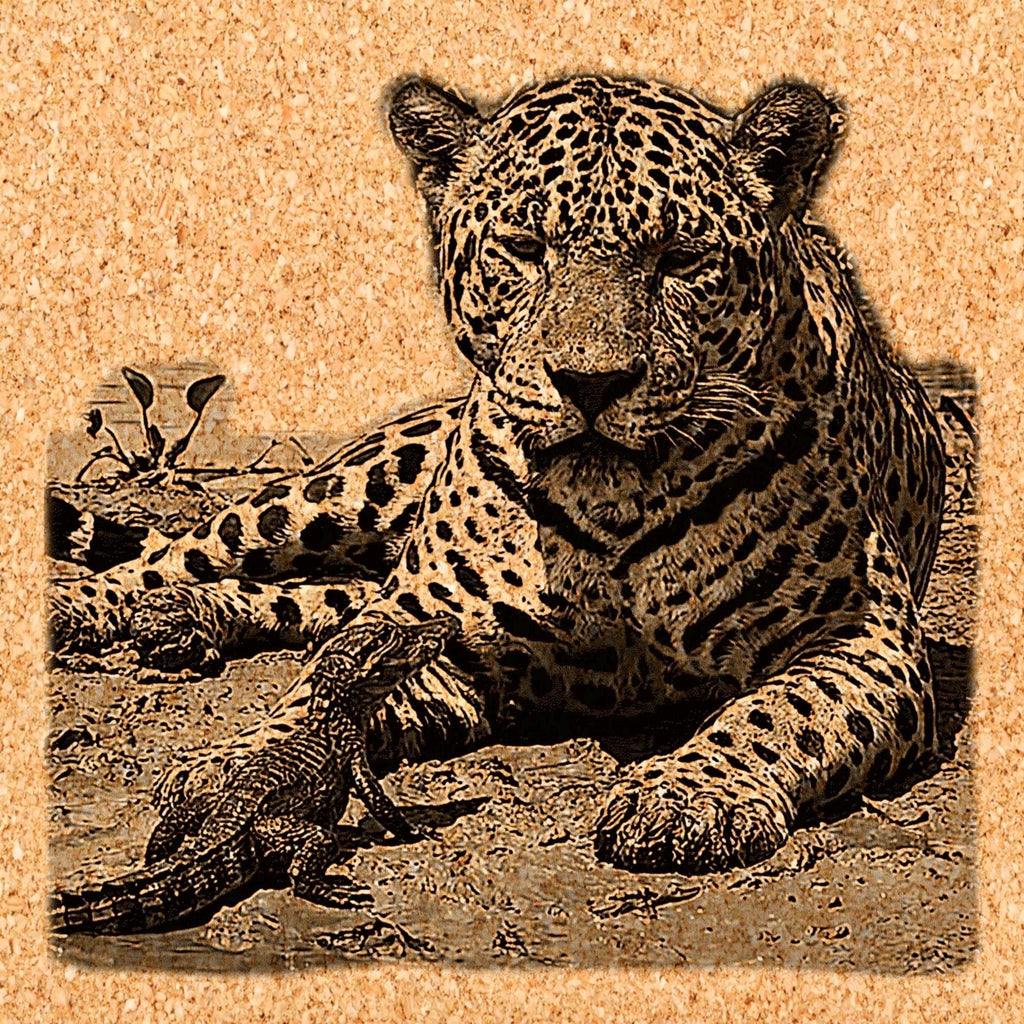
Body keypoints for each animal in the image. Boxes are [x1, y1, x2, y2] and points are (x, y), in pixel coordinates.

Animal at [49, 73, 946, 875]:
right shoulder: (435, 630)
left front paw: (687, 795)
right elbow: (318, 688)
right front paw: (245, 766)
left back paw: (185, 619)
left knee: (318, 597)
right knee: (190, 550)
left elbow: (775, 711)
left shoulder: (859, 637)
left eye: (682, 259)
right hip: (352, 485)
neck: (614, 500)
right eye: (524, 249)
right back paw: (95, 609)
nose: (592, 382)